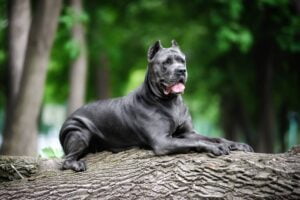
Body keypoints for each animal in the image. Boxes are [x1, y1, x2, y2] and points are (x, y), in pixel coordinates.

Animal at [59, 40, 253, 172]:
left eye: (182, 60)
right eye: (166, 62)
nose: (181, 71)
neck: (170, 101)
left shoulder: (188, 132)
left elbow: (214, 137)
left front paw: (236, 144)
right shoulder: (163, 141)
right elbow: (196, 141)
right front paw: (215, 148)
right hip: (80, 134)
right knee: (66, 160)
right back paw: (76, 164)